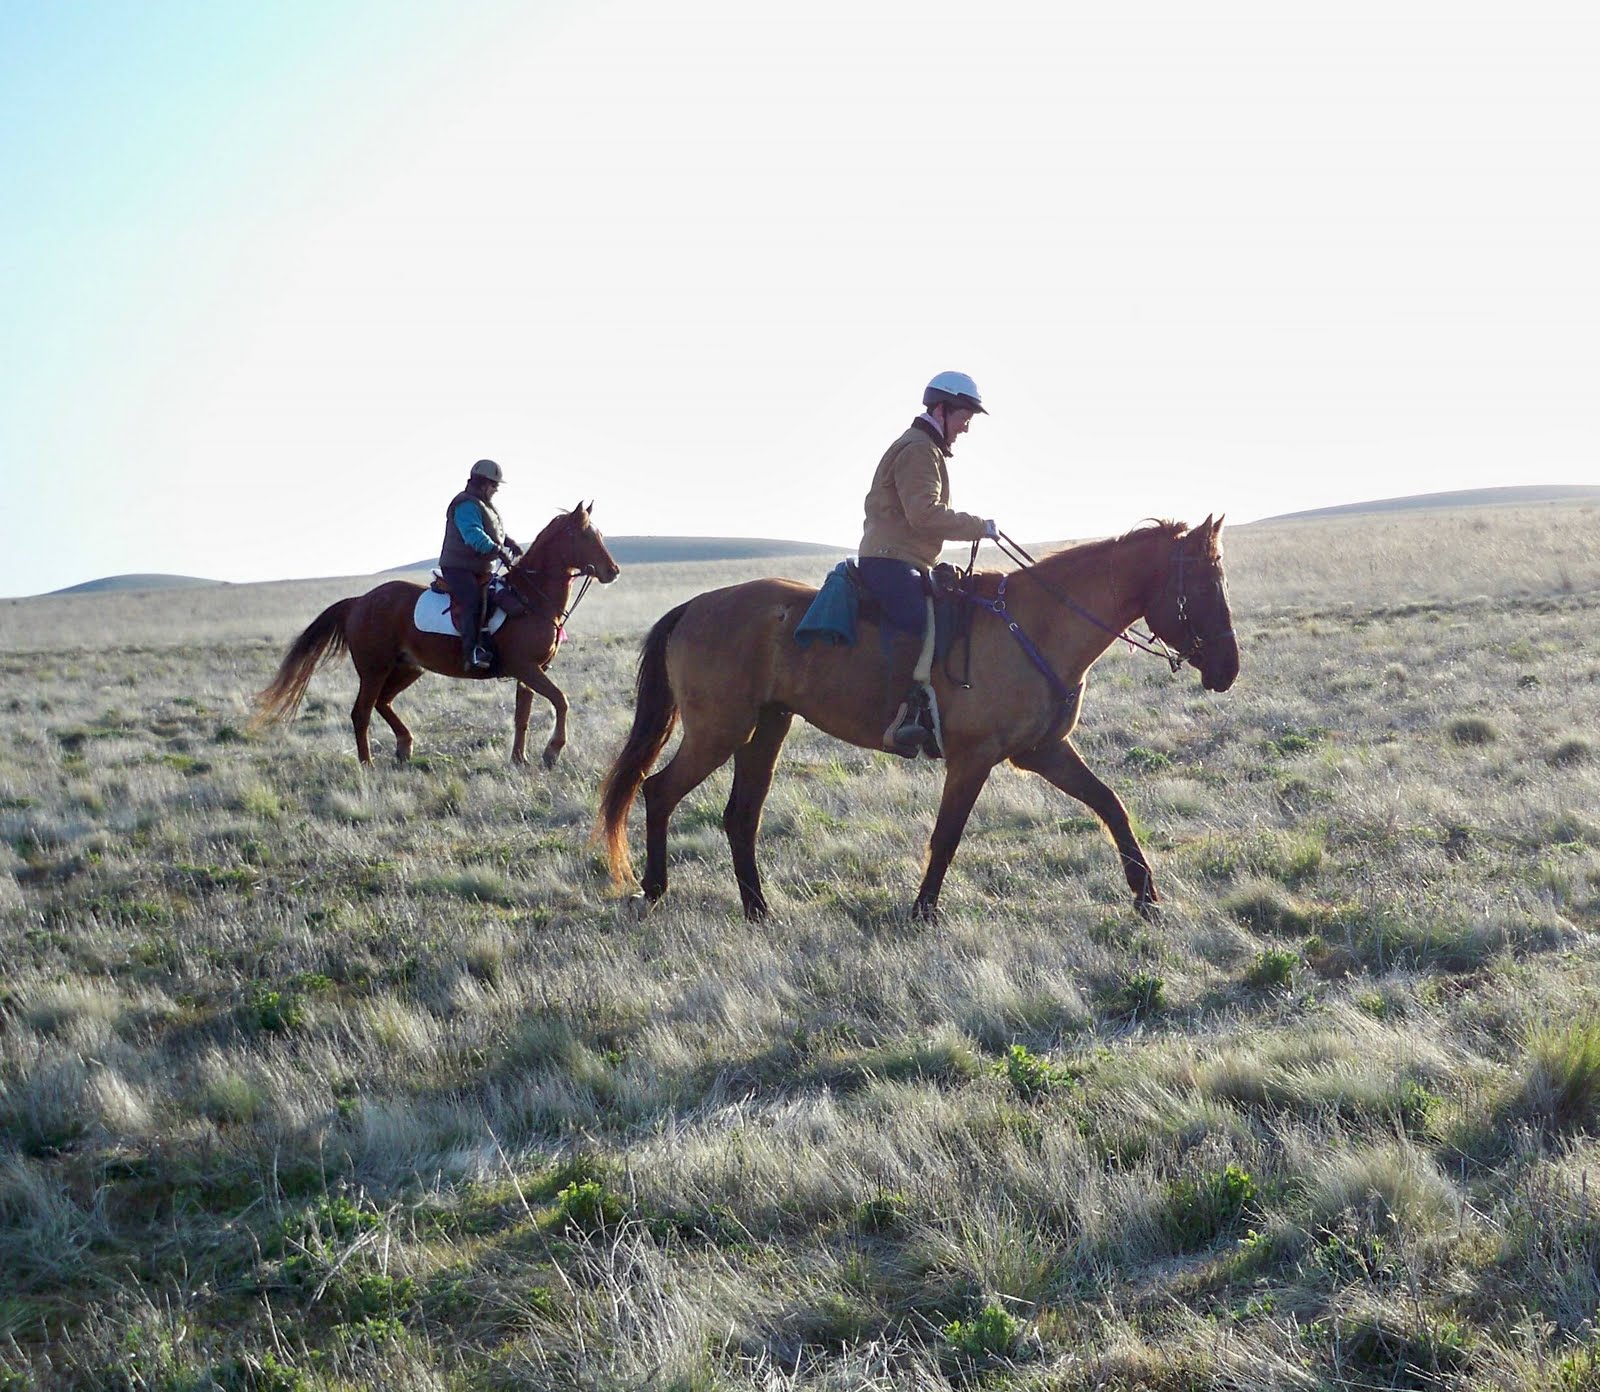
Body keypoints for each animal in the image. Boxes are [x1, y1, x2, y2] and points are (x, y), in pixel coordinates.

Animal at [254, 503, 621, 767]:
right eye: (587, 537)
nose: (613, 571)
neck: (531, 597)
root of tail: (360, 601)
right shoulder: (527, 668)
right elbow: (561, 700)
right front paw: (552, 751)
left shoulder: (531, 672)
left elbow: (523, 716)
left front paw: (520, 759)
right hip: (374, 669)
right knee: (362, 712)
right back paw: (367, 764)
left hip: (408, 668)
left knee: (383, 703)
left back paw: (405, 747)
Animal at [598, 516, 1238, 921]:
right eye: (1205, 585)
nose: (1228, 668)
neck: (1038, 624)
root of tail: (694, 608)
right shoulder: (974, 758)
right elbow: (947, 834)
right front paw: (924, 910)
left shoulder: (1044, 752)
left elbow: (1110, 804)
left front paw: (1145, 896)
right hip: (719, 732)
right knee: (658, 792)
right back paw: (653, 891)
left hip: (767, 728)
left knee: (740, 817)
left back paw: (759, 911)